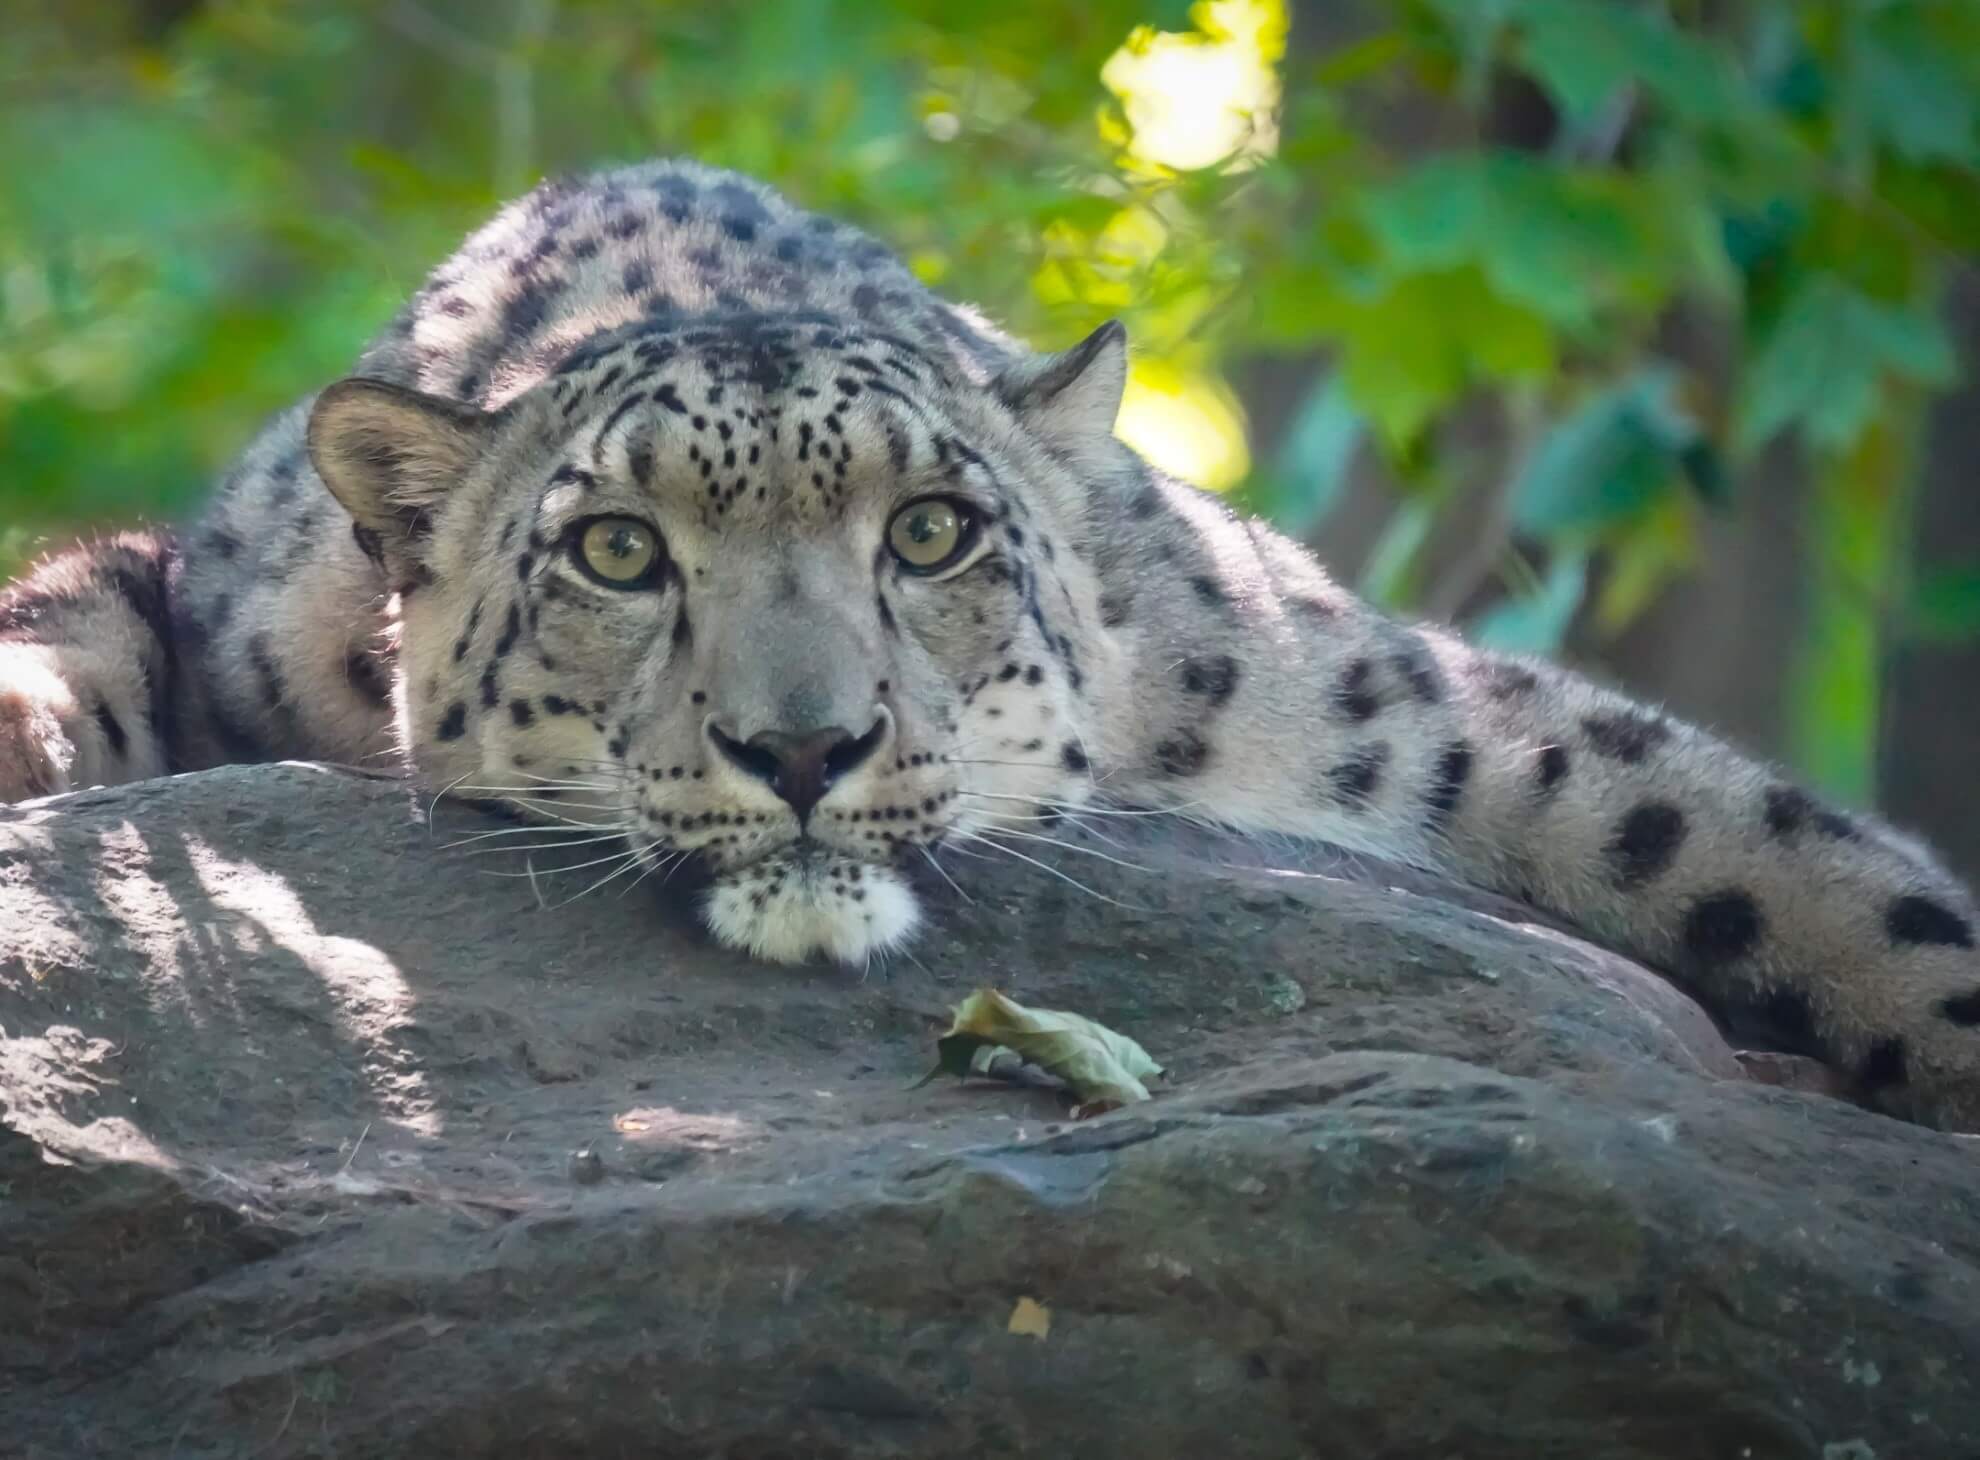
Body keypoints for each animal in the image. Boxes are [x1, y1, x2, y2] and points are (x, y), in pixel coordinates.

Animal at [5, 159, 1979, 1128]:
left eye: (932, 528)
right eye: (617, 549)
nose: (805, 750)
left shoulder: (1408, 706)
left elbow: (1762, 852)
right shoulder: (237, 600)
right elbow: (82, 606)